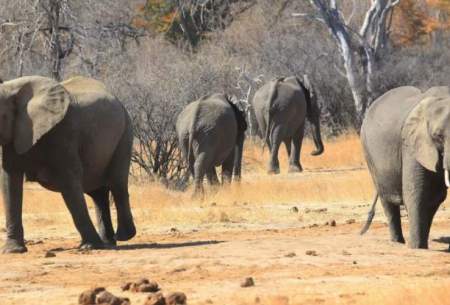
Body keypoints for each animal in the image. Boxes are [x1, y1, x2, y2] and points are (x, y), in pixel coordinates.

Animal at [0, 75, 137, 252]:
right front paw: (13, 250)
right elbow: (10, 182)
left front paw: (89, 247)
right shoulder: (13, 135)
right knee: (97, 193)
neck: (11, 89)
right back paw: (108, 242)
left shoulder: (63, 132)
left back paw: (123, 237)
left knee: (117, 183)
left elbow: (69, 182)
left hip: (125, 132)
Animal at [360, 85, 450, 247]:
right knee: (387, 201)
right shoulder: (411, 144)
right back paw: (398, 242)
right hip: (368, 153)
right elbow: (416, 194)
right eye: (438, 136)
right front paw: (417, 248)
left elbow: (434, 198)